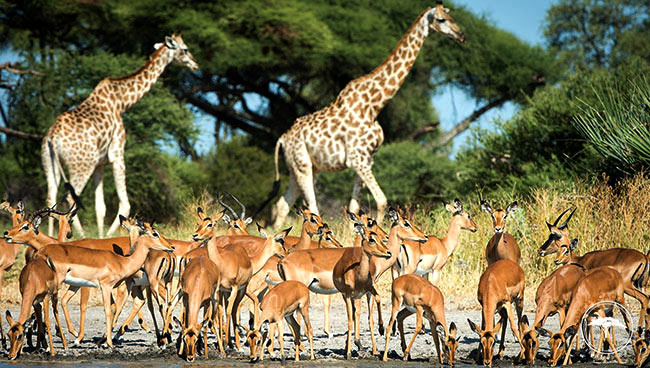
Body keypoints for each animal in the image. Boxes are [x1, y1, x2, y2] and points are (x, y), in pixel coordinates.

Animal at [41, 33, 197, 237]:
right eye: (185, 49)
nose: (195, 64)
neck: (122, 102)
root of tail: (52, 137)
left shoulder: (99, 164)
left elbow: (100, 207)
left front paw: (100, 237)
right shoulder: (117, 154)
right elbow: (125, 204)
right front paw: (111, 235)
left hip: (50, 163)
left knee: (50, 196)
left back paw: (50, 236)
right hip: (81, 166)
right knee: (69, 197)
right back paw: (77, 235)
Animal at [266, 1, 464, 229]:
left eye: (452, 17)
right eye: (441, 19)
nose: (461, 35)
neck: (373, 106)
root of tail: (283, 138)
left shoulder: (367, 160)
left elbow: (354, 208)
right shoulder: (357, 159)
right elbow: (381, 201)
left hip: (299, 168)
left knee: (282, 205)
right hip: (303, 166)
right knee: (312, 207)